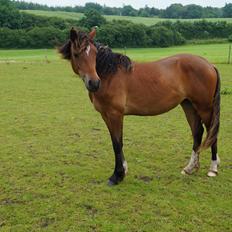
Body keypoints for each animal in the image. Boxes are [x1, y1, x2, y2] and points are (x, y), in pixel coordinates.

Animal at [59, 28, 220, 186]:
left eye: (94, 54)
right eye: (76, 54)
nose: (94, 83)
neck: (109, 74)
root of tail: (209, 65)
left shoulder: (115, 114)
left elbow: (117, 143)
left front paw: (117, 176)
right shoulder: (106, 115)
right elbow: (116, 142)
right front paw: (123, 171)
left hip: (204, 108)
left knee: (212, 132)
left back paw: (213, 169)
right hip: (188, 105)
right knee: (197, 132)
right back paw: (190, 168)